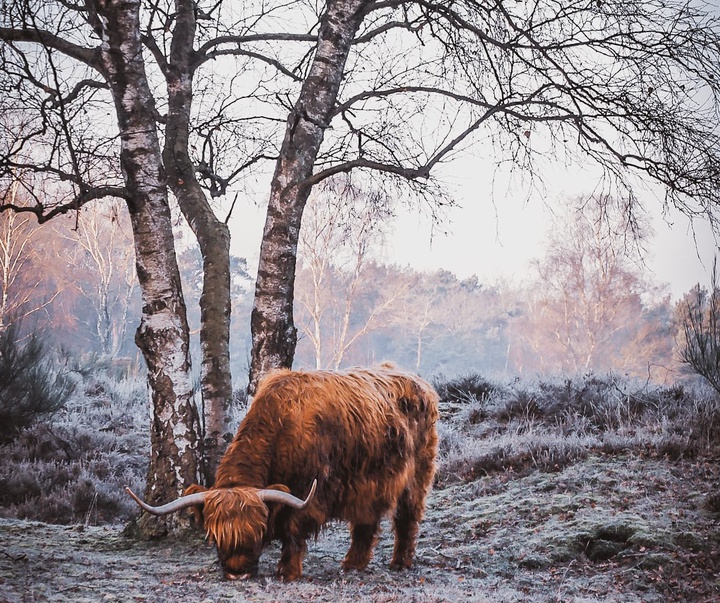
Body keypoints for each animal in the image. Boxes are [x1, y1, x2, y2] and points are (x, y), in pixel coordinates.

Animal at [126, 366, 436, 584]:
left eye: (257, 530)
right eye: (216, 534)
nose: (237, 573)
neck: (282, 427)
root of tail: (419, 382)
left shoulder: (308, 494)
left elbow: (293, 531)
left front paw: (288, 571)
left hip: (415, 478)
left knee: (407, 518)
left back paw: (400, 563)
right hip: (369, 485)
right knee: (365, 523)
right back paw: (352, 565)